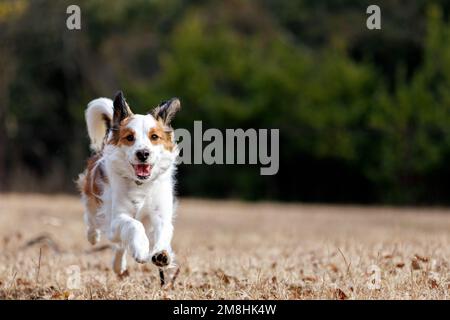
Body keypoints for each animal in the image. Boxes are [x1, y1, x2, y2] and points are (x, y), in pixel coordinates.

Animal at [77, 90, 179, 276]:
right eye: (130, 137)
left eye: (154, 137)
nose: (143, 153)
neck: (140, 184)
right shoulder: (117, 219)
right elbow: (134, 224)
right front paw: (141, 248)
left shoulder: (161, 215)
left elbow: (164, 231)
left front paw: (162, 254)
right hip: (94, 203)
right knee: (91, 219)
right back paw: (93, 236)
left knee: (120, 246)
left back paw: (119, 265)